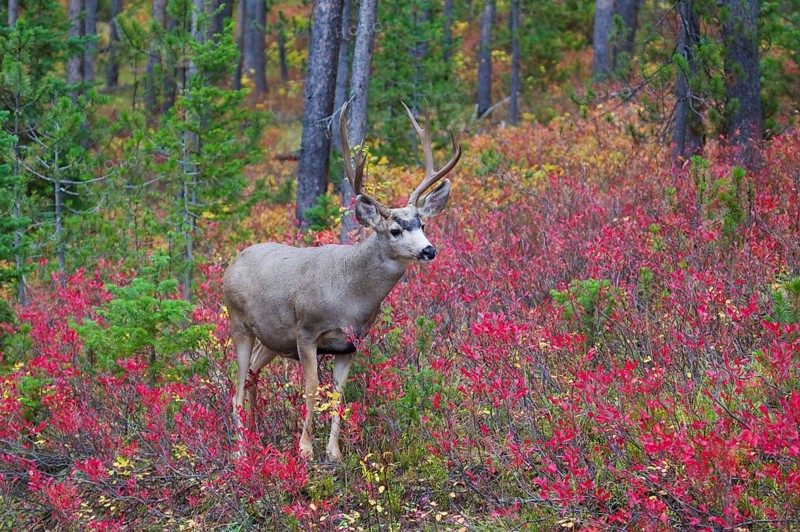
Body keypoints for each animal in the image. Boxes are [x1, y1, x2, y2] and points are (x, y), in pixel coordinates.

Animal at [223, 102, 461, 461]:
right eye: (395, 230)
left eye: (422, 223)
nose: (429, 250)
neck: (350, 296)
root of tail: (231, 265)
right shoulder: (307, 333)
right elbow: (310, 391)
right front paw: (305, 449)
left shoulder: (350, 343)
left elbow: (339, 395)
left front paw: (334, 453)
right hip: (239, 324)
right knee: (236, 387)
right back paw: (240, 451)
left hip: (272, 339)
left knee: (252, 375)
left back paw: (257, 435)